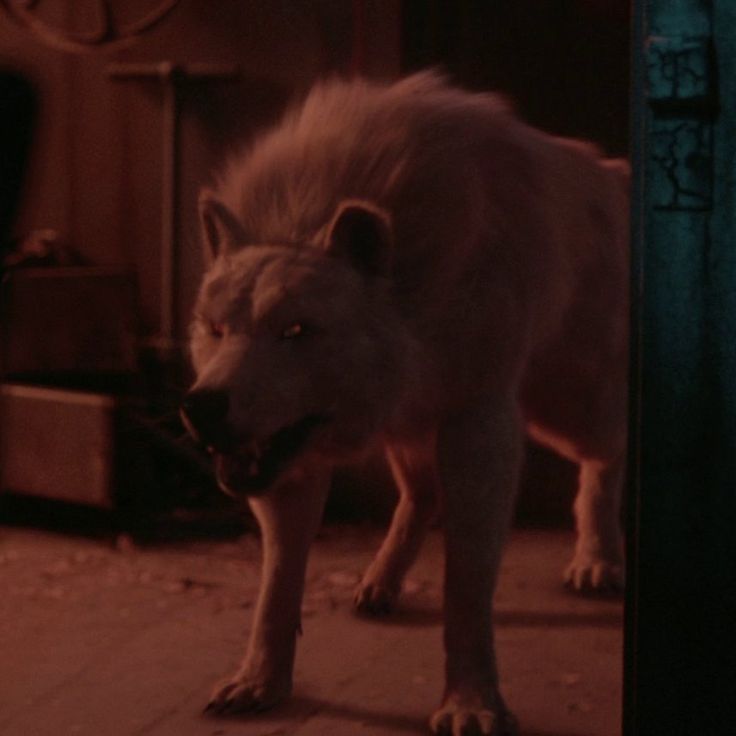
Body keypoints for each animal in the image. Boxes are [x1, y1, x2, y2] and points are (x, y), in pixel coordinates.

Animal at [180, 73, 628, 736]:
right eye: (215, 328)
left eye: (295, 330)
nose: (201, 407)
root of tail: (619, 177)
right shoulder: (293, 465)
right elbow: (276, 587)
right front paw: (260, 683)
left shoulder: (479, 423)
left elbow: (466, 591)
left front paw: (471, 704)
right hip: (411, 429)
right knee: (422, 497)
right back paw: (380, 583)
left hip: (570, 411)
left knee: (604, 461)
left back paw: (597, 561)